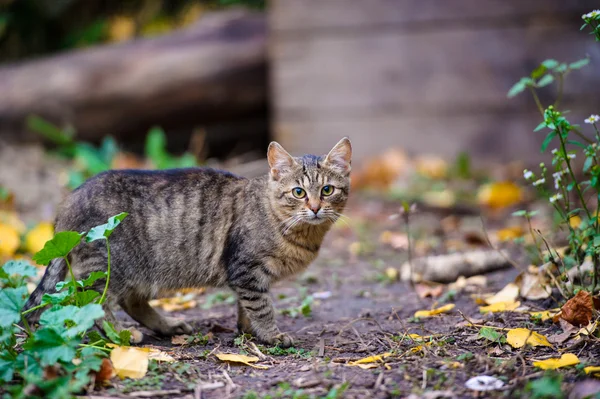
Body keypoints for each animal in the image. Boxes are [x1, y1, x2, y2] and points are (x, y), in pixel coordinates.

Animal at [24, 138, 352, 346]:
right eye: (298, 192)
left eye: (327, 190)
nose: (315, 208)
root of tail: (69, 202)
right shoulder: (246, 270)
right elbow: (261, 307)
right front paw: (271, 335)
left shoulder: (246, 276)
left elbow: (246, 308)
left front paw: (248, 332)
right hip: (105, 268)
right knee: (92, 305)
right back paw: (122, 336)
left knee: (131, 302)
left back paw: (168, 326)